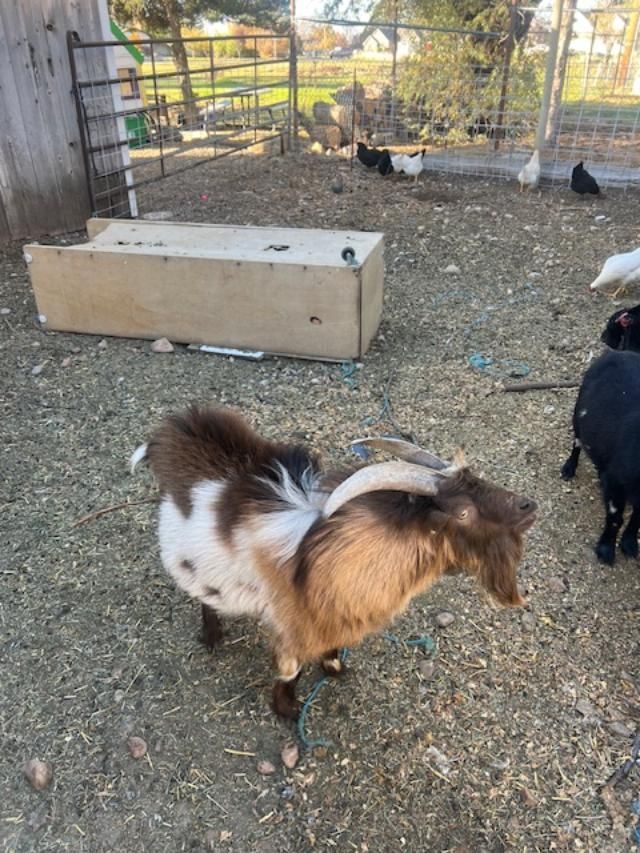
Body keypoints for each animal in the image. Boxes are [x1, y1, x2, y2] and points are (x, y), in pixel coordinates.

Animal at [132, 407, 537, 720]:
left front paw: (334, 667)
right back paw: (212, 636)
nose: (528, 506)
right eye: (463, 512)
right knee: (204, 596)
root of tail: (174, 431)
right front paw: (287, 710)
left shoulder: (335, 614)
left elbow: (331, 649)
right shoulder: (295, 623)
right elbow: (290, 669)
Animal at [561, 350, 640, 564]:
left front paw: (629, 544)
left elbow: (638, 517)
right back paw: (568, 468)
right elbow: (615, 518)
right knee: (577, 442)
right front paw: (605, 550)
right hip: (578, 414)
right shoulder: (617, 481)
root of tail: (618, 352)